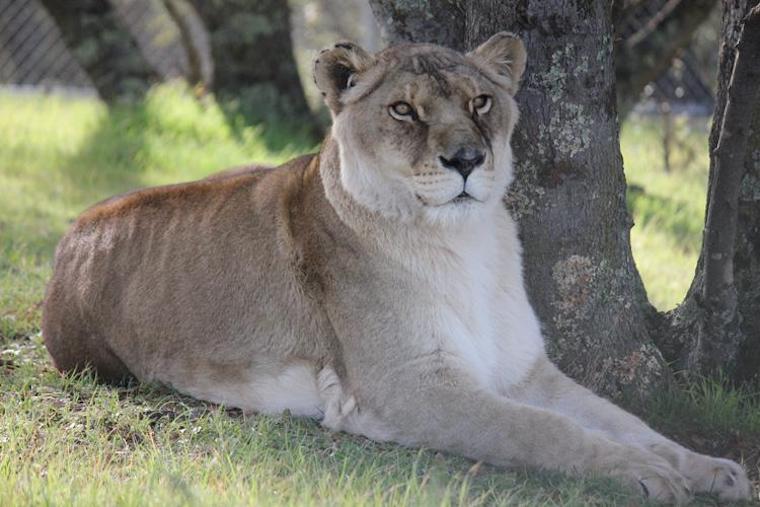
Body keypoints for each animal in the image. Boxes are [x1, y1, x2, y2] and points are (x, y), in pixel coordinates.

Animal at [42, 33, 751, 503]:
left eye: (481, 102)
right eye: (404, 110)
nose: (466, 160)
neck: (466, 242)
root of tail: (76, 226)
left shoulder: (525, 371)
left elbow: (627, 420)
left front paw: (709, 469)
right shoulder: (409, 385)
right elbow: (544, 432)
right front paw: (645, 475)